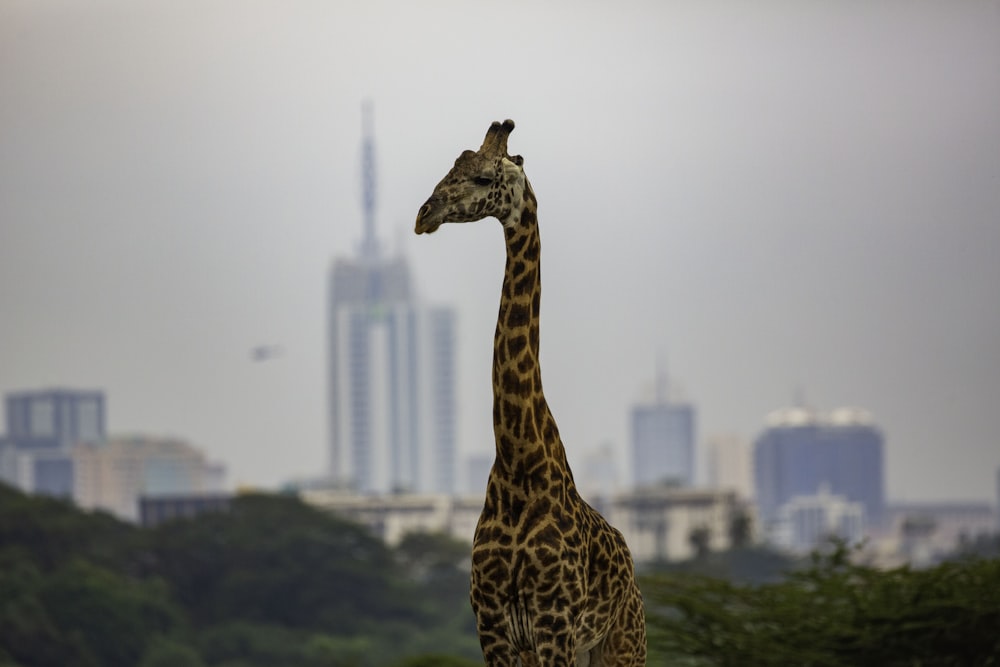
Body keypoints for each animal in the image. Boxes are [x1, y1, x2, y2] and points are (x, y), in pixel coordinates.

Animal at [414, 121, 648, 667]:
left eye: (482, 178)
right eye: (450, 167)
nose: (423, 215)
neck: (518, 459)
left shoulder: (553, 623)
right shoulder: (494, 627)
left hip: (622, 644)